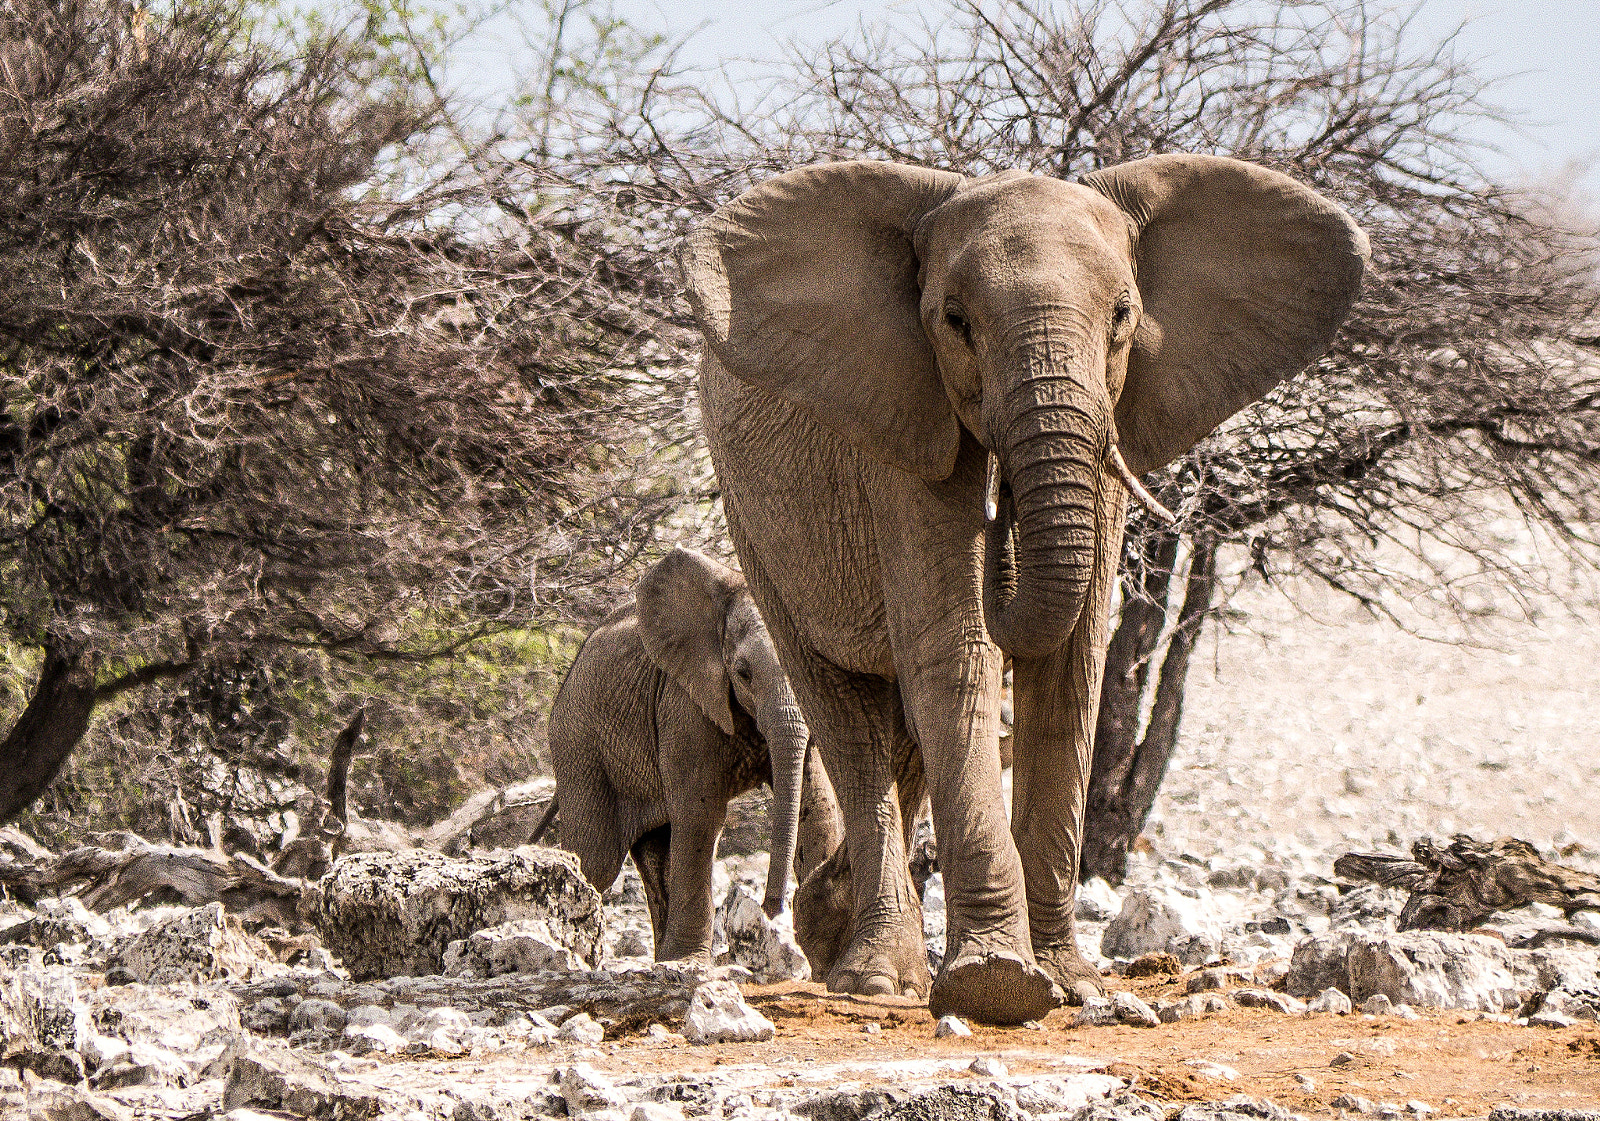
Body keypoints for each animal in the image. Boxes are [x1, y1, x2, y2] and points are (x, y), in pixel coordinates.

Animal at [547, 546, 835, 963]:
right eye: (743, 674)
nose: (770, 910)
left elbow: (819, 804)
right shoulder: (683, 703)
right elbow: (700, 814)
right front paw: (688, 961)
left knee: (654, 853)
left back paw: (657, 958)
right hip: (579, 747)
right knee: (594, 859)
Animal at [680, 154, 1367, 1023]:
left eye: (1122, 315)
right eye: (953, 321)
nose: (1001, 515)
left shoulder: (1113, 418)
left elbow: (1070, 663)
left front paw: (1069, 982)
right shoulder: (903, 422)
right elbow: (957, 650)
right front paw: (996, 985)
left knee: (903, 736)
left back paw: (833, 928)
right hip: (753, 520)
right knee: (848, 715)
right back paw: (873, 975)